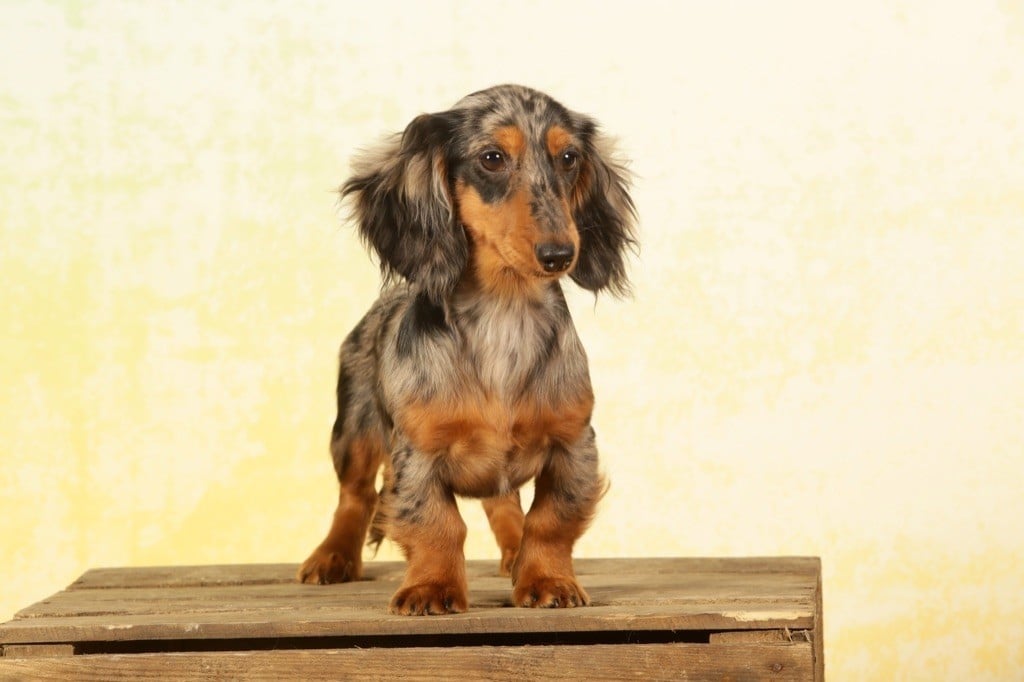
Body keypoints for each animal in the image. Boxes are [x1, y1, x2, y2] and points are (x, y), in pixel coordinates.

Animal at [296, 82, 634, 614]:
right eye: (492, 158)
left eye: (569, 157)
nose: (560, 254)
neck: (503, 315)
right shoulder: (418, 450)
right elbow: (437, 523)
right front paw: (431, 587)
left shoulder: (573, 441)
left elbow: (551, 519)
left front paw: (548, 579)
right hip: (355, 429)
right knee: (355, 496)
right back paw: (332, 556)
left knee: (503, 503)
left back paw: (514, 553)